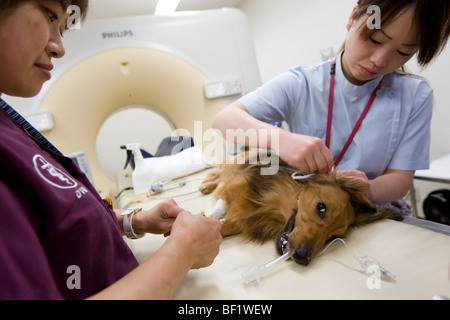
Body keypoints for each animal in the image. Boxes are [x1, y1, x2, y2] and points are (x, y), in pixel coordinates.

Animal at [199, 151, 402, 266]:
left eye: (334, 237)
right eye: (321, 207)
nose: (303, 258)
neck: (265, 207)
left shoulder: (241, 220)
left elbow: (222, 226)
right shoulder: (232, 190)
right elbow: (218, 208)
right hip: (234, 164)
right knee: (219, 173)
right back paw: (206, 185)